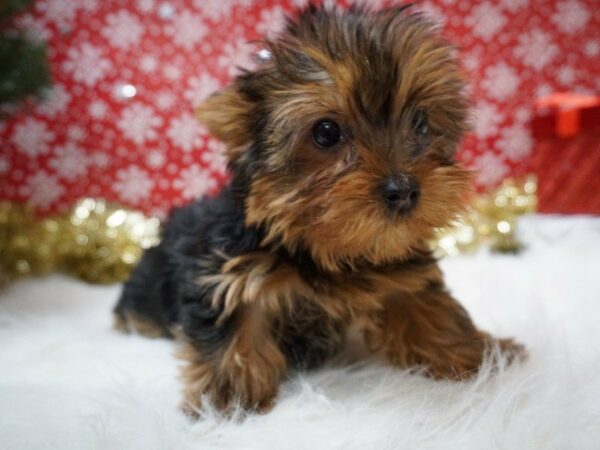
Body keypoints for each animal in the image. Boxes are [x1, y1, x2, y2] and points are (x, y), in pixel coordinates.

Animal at [113, 3, 524, 414]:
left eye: (421, 123)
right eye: (326, 133)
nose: (404, 189)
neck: (326, 249)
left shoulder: (401, 271)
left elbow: (429, 310)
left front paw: (480, 354)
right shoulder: (231, 273)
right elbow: (236, 327)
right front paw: (227, 400)